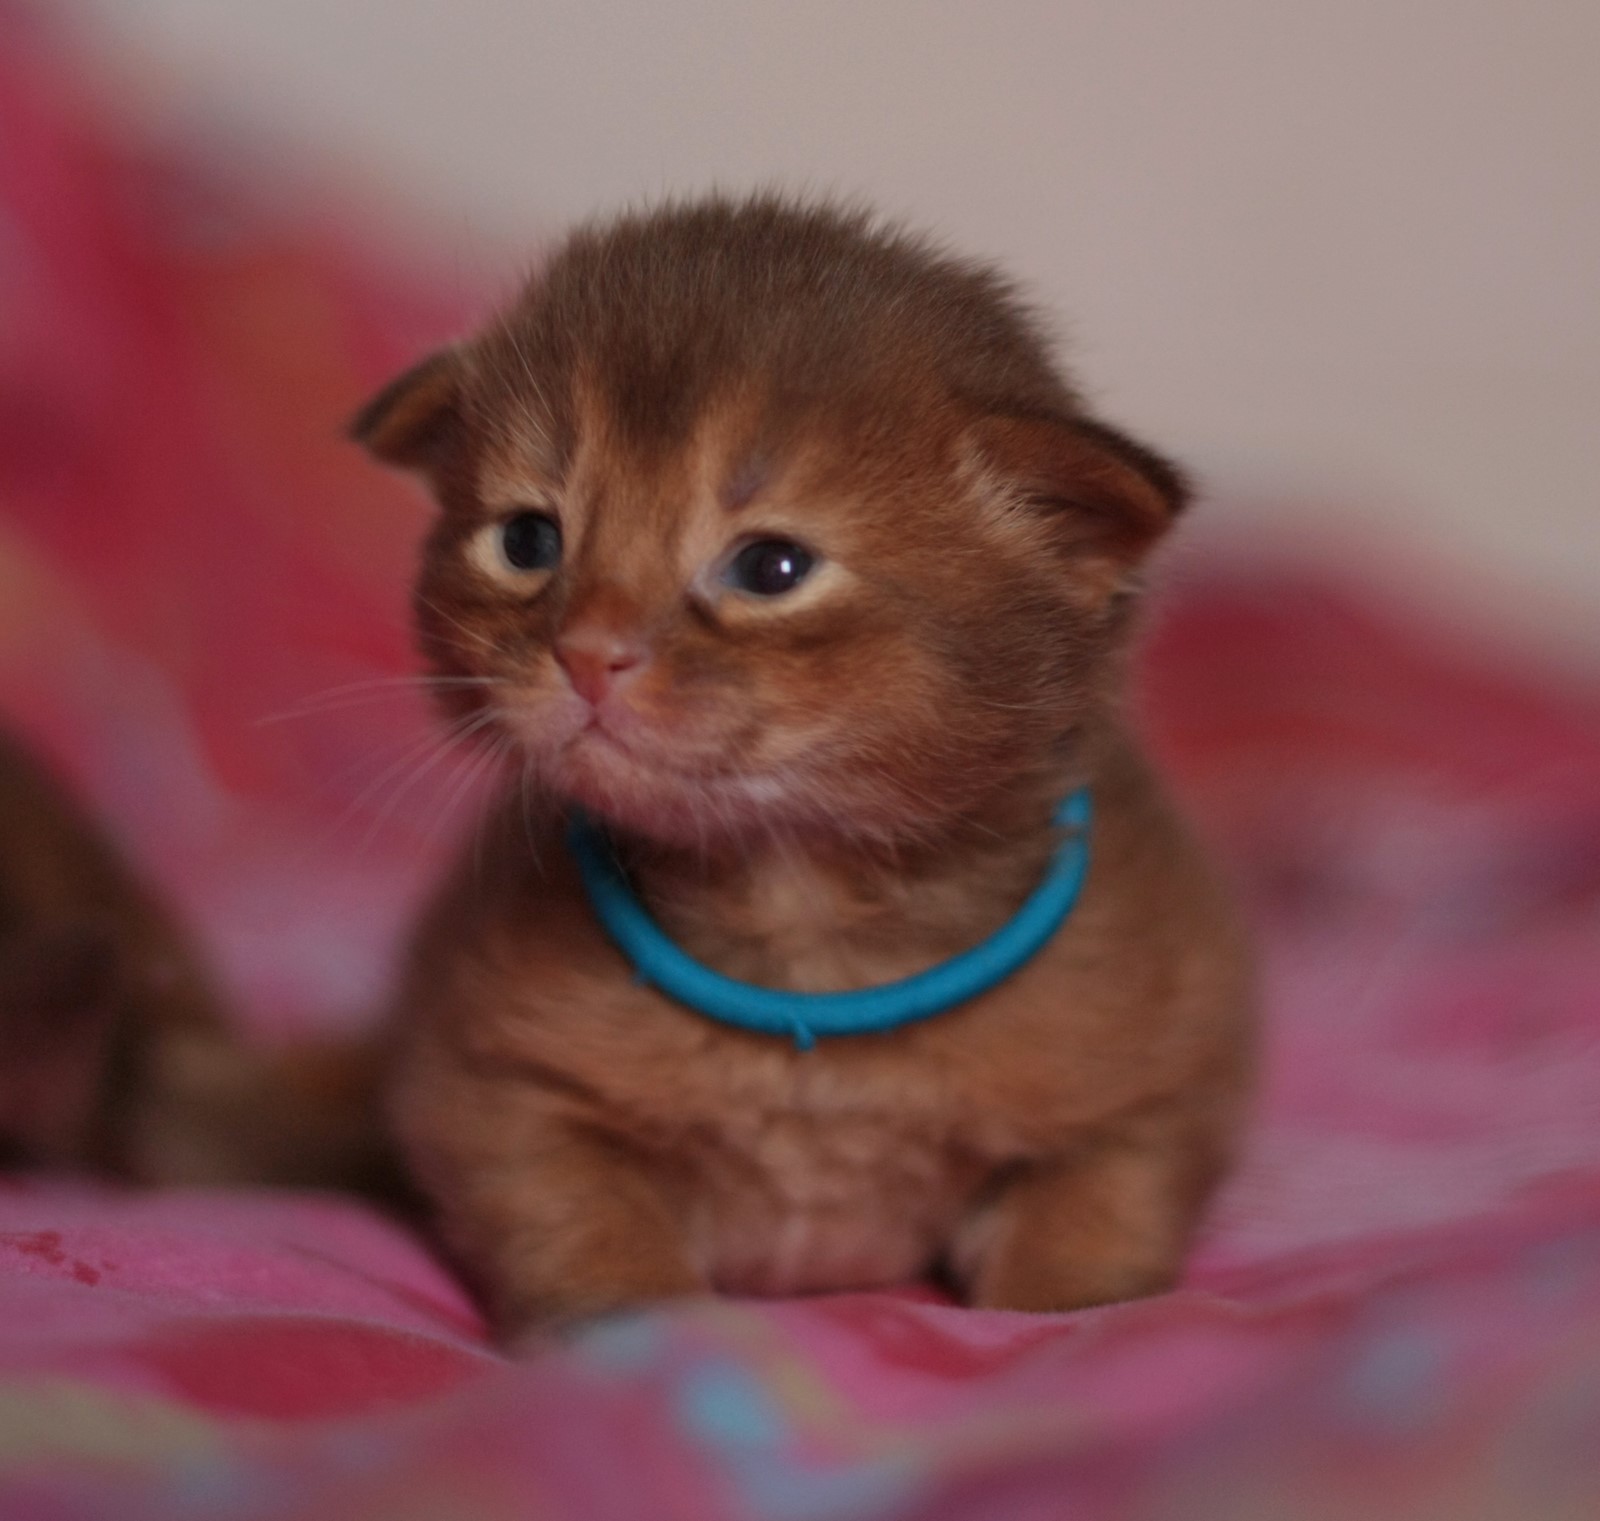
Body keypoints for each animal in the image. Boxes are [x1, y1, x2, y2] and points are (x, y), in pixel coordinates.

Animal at [352, 195, 1256, 1338]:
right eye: (526, 540)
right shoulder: (489, 1081)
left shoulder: (1159, 1073)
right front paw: (639, 1334)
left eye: (770, 568)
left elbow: (1095, 1213)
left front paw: (1062, 1314)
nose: (588, 652)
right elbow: (578, 1224)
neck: (801, 922)